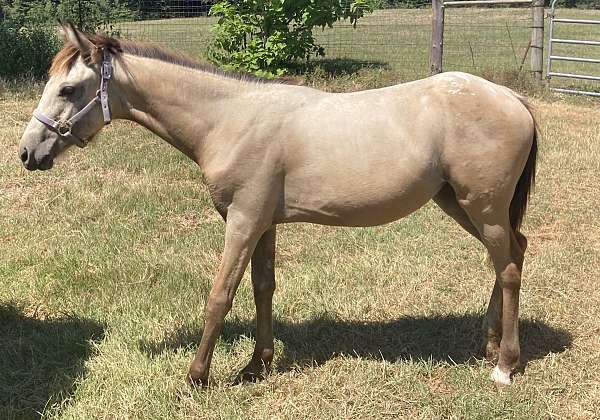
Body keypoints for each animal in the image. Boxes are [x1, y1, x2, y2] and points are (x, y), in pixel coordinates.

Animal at [18, 24, 536, 388]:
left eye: (67, 89)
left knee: (509, 268)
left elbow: (221, 295)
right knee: (513, 252)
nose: (27, 152)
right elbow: (262, 288)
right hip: (459, 204)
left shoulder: (243, 221)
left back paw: (505, 365)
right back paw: (489, 344)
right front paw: (256, 366)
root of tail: (512, 97)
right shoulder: (263, 223)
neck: (230, 119)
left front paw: (197, 376)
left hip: (481, 207)